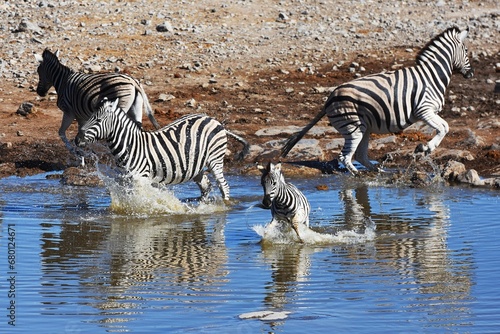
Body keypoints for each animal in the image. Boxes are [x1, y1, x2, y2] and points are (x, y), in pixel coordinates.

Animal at [74, 98, 250, 200]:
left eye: (97, 120)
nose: (77, 139)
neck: (131, 145)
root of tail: (215, 121)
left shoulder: (141, 178)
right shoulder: (125, 178)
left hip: (215, 160)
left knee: (224, 186)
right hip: (196, 166)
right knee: (206, 186)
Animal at [282, 26, 472, 175]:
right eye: (466, 51)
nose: (471, 74)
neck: (432, 75)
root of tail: (331, 96)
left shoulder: (428, 112)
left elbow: (445, 127)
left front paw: (424, 148)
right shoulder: (424, 110)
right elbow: (444, 128)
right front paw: (425, 148)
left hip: (364, 127)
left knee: (360, 156)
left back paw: (379, 171)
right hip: (353, 126)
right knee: (345, 156)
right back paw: (358, 175)